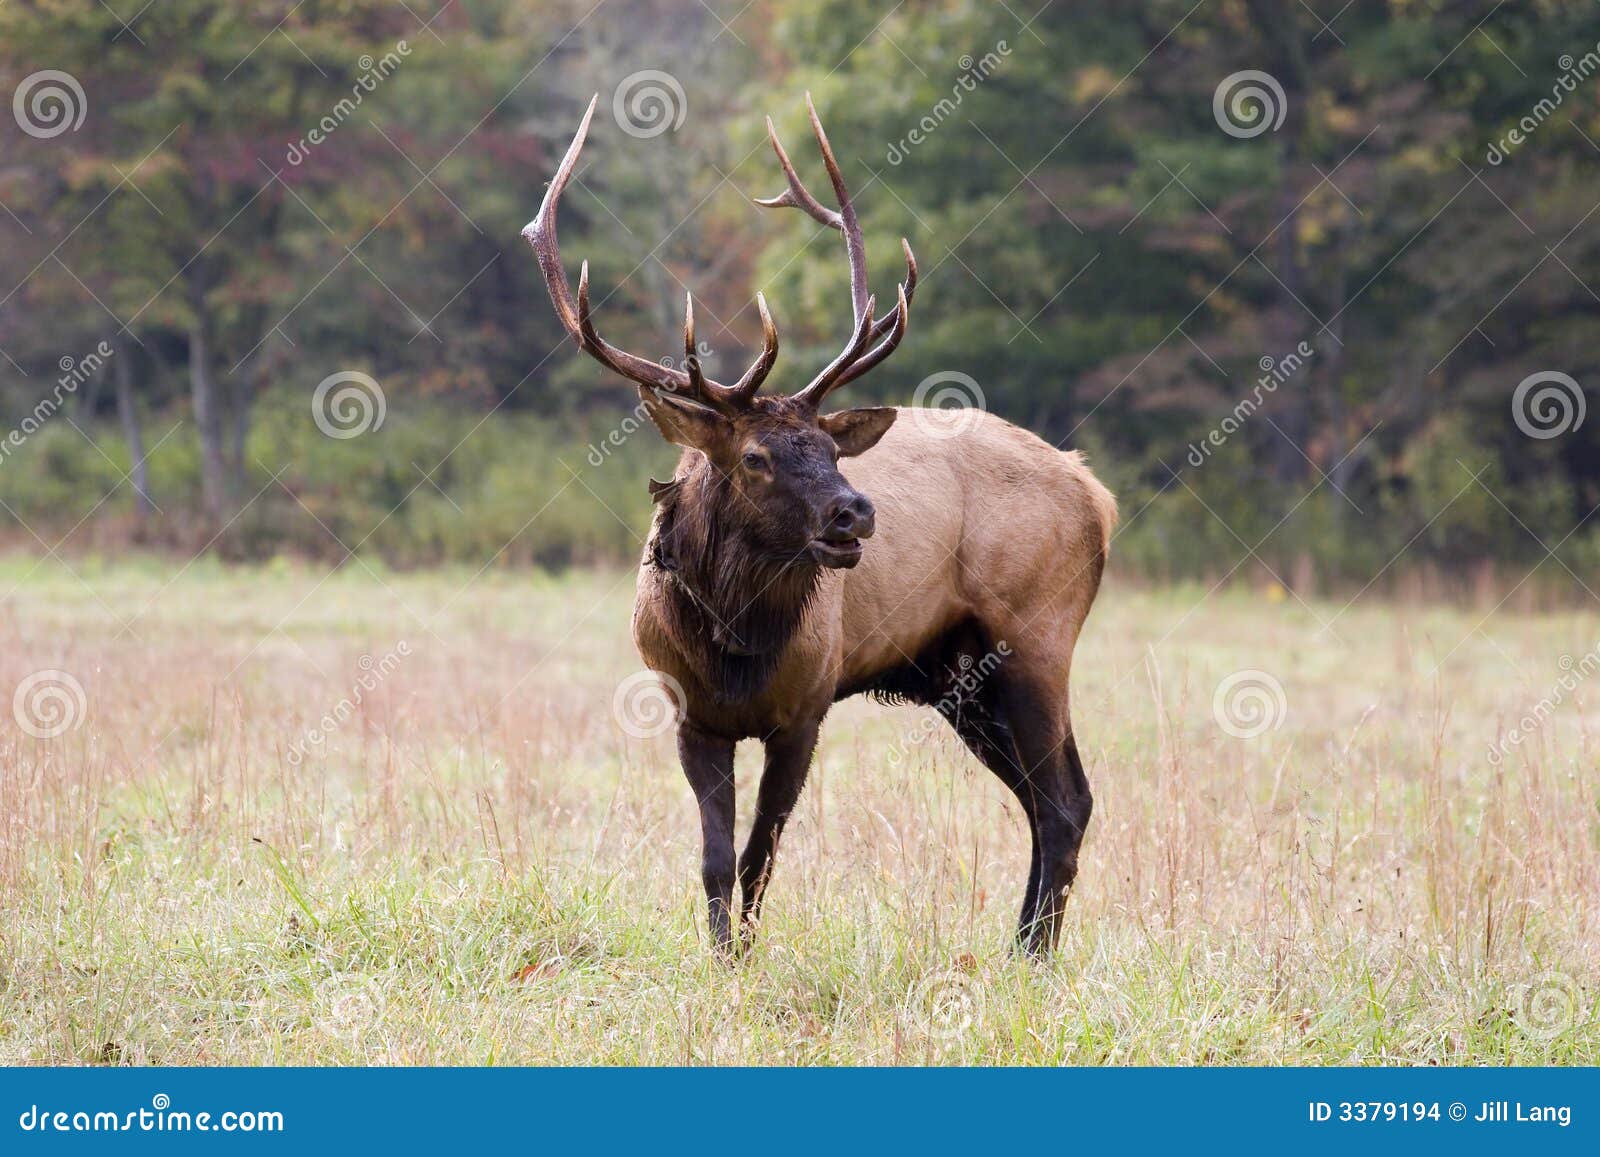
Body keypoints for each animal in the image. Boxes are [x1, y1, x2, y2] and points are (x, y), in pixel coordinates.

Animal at [523, 94, 1117, 958]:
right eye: (757, 456)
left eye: (831, 448)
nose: (855, 509)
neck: (735, 644)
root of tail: (1097, 493)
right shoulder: (689, 710)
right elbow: (713, 855)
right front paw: (720, 956)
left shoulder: (805, 707)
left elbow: (759, 853)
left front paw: (744, 954)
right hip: (960, 676)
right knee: (1047, 800)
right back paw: (1021, 946)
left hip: (1038, 634)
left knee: (1066, 799)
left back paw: (1031, 956)